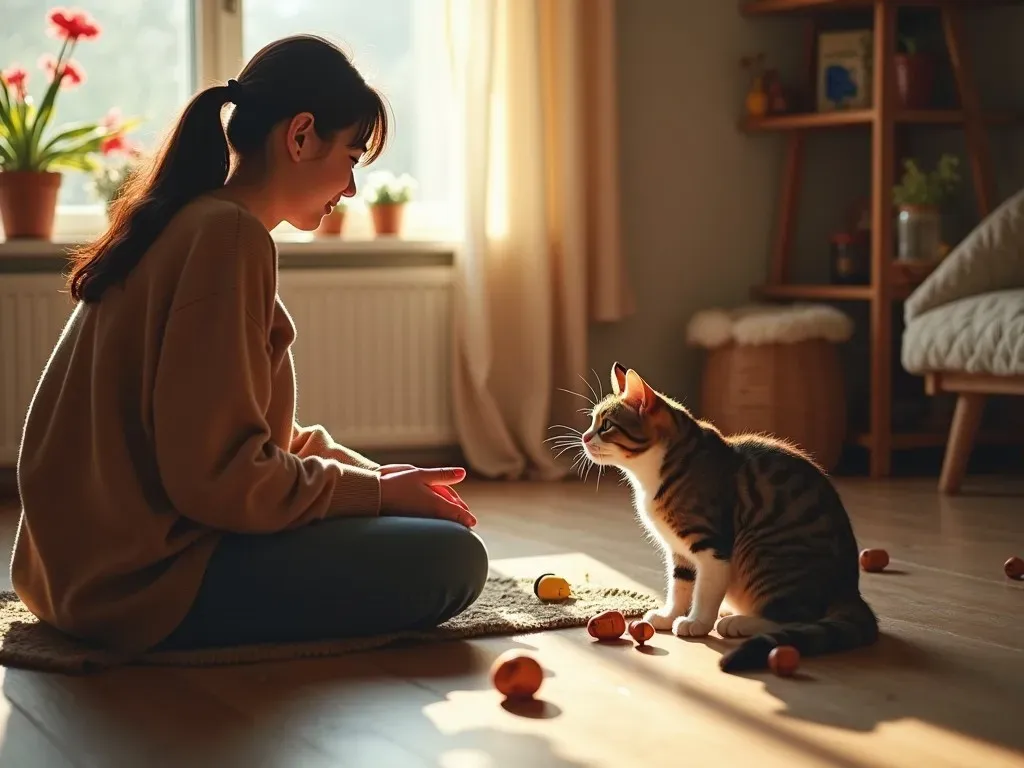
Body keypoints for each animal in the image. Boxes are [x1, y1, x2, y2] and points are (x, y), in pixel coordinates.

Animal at [581, 364, 876, 671]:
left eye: (606, 425)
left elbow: (705, 589)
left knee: (794, 616)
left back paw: (739, 622)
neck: (652, 476)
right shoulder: (678, 549)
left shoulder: (711, 543)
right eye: (592, 421)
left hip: (765, 554)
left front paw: (697, 622)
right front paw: (669, 615)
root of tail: (850, 589)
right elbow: (680, 585)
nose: (584, 437)